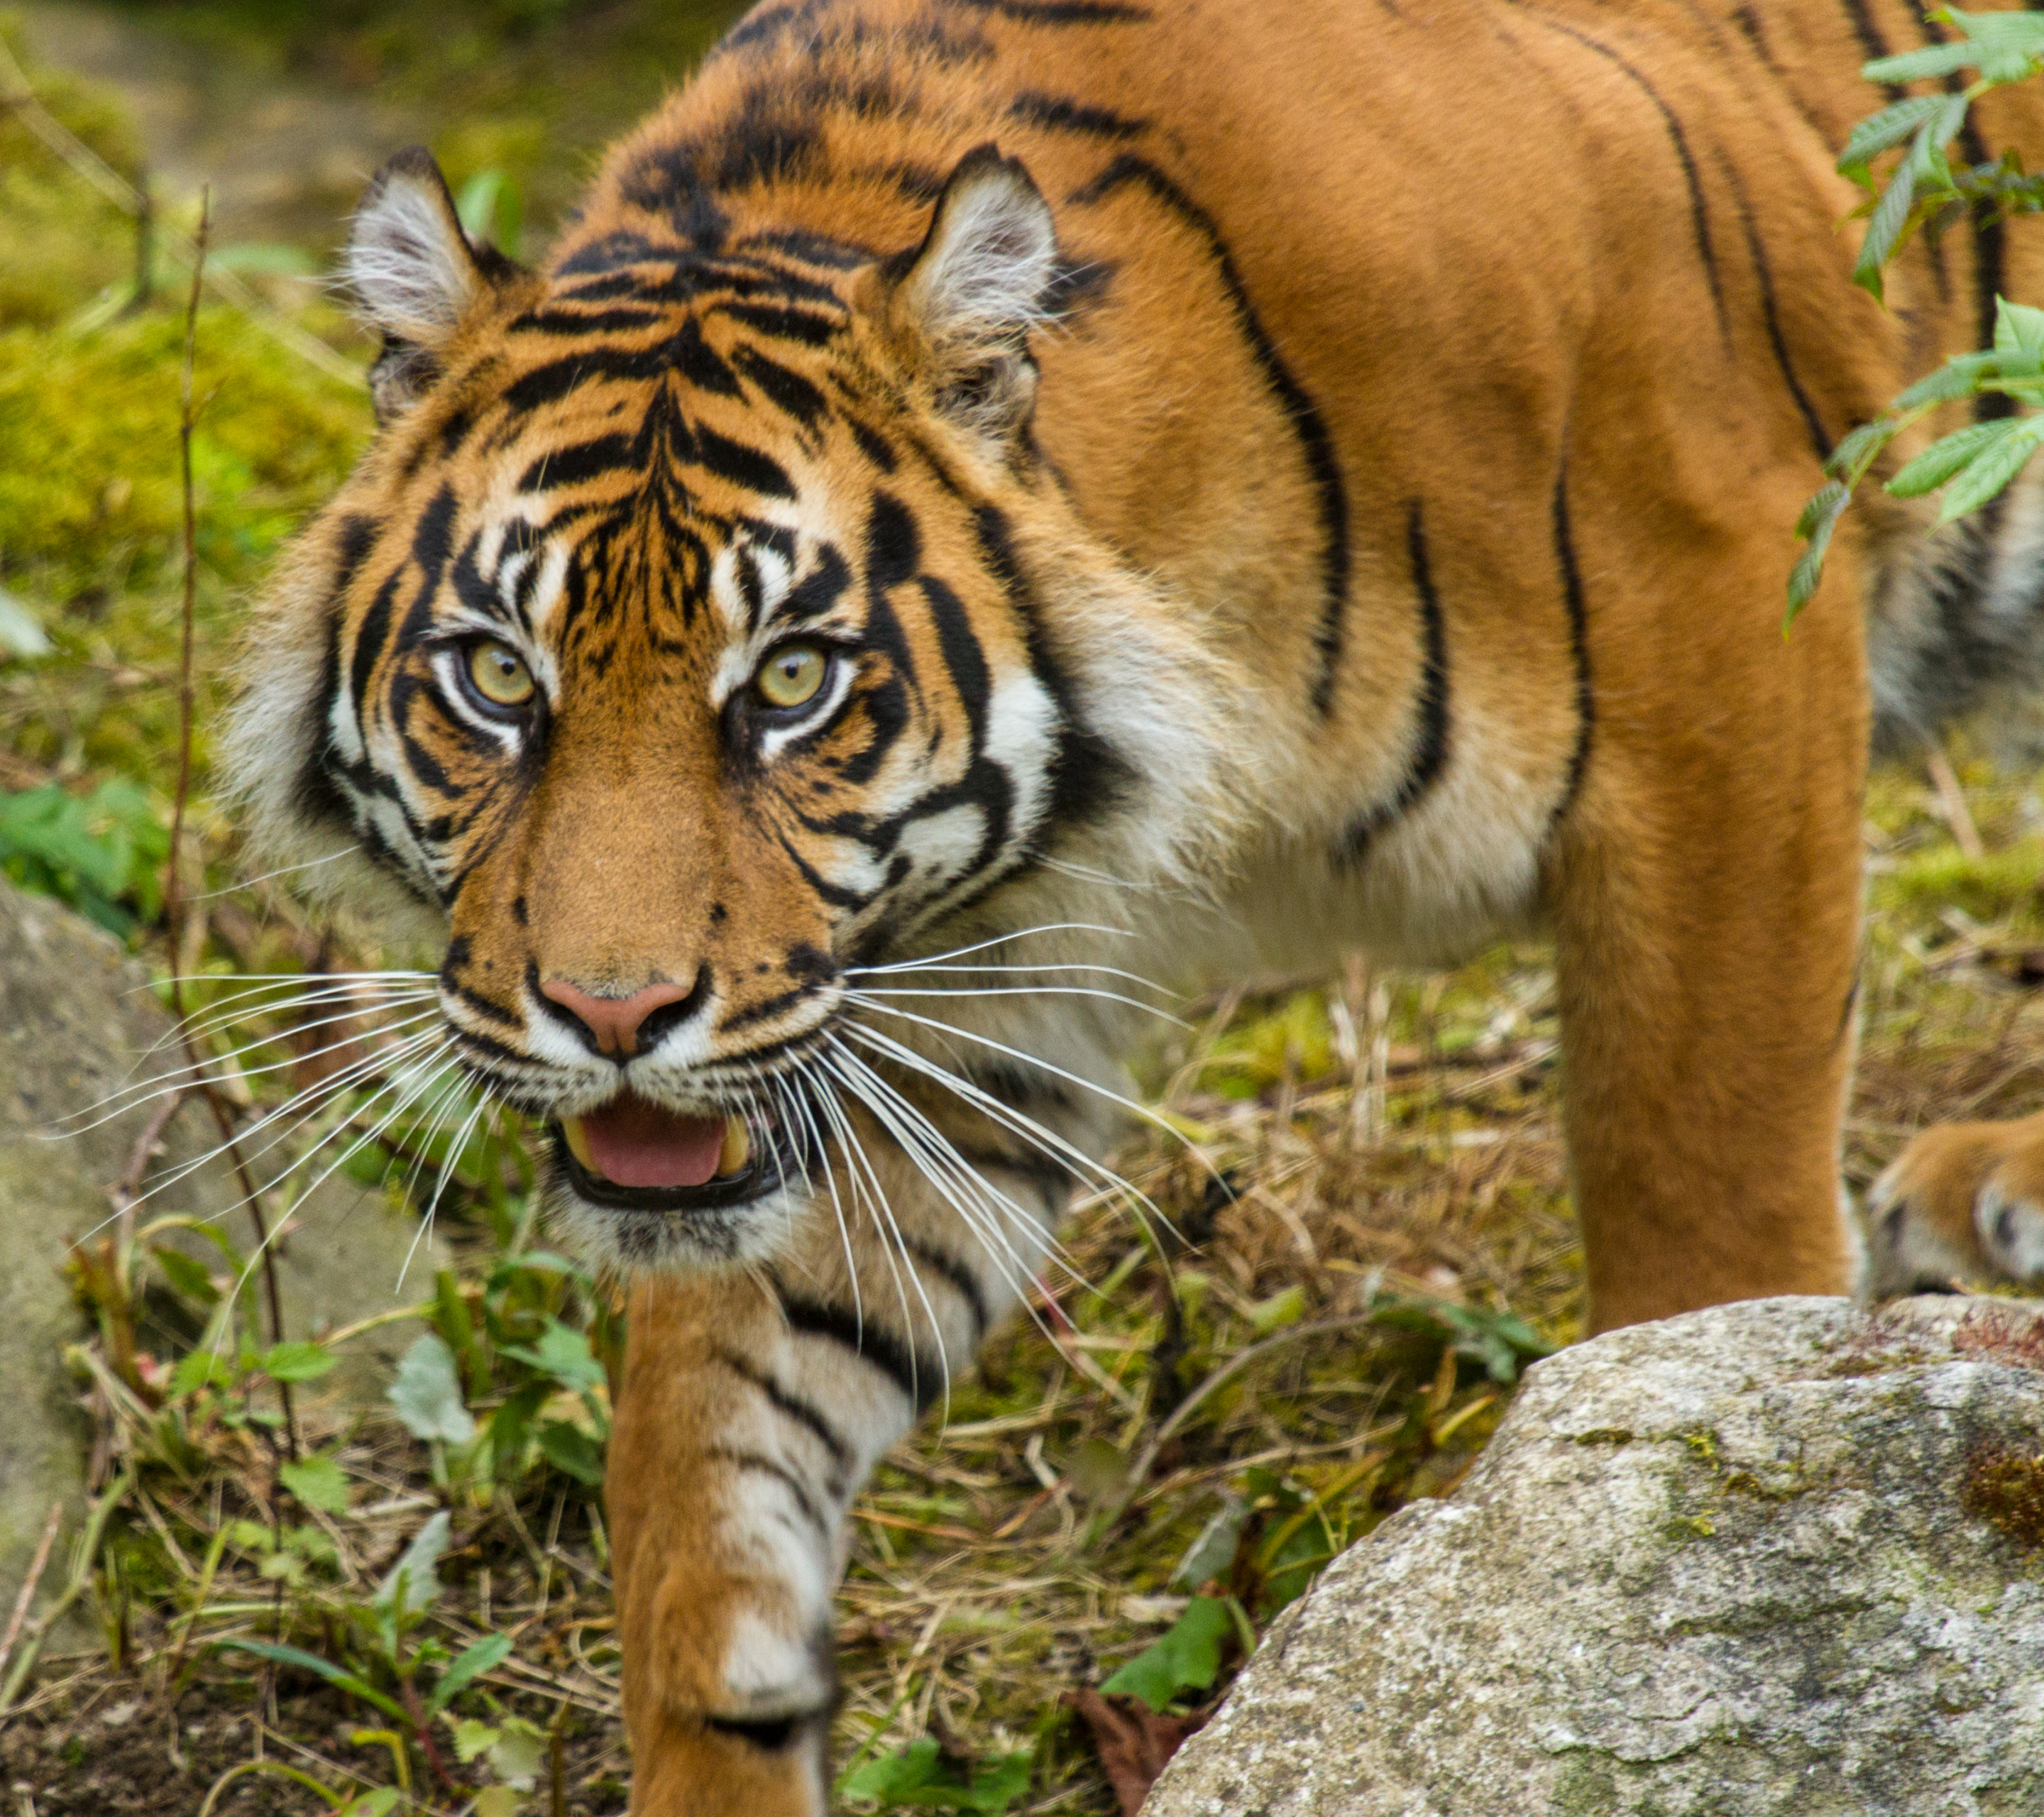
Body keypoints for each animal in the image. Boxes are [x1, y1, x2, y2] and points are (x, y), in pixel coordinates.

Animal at [235, 0, 2044, 1806]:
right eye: (493, 677)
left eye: (793, 682)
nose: (612, 1014)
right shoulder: (936, 997)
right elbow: (710, 1447)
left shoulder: (1725, 645)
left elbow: (1704, 1208)